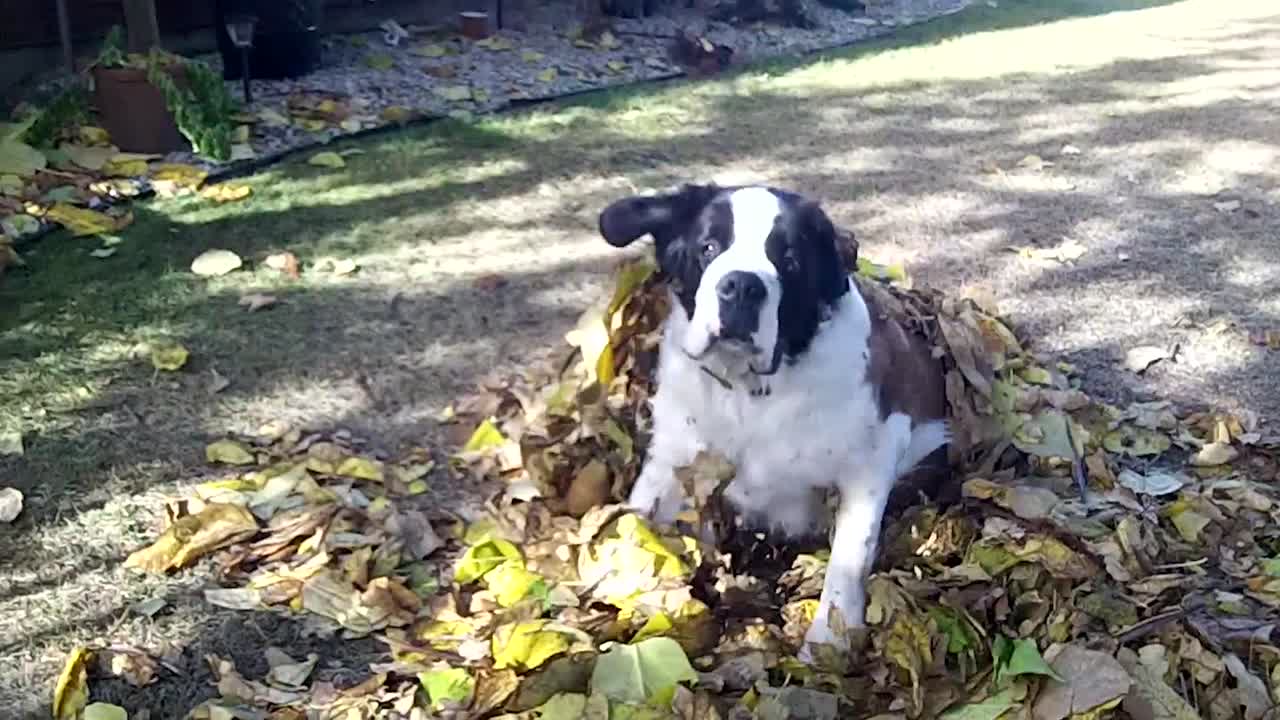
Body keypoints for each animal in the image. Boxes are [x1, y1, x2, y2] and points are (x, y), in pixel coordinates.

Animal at [596, 183, 952, 655]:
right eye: (708, 247)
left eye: (790, 261)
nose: (742, 286)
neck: (749, 395)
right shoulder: (673, 455)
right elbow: (640, 518)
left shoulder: (875, 458)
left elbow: (850, 556)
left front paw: (828, 642)